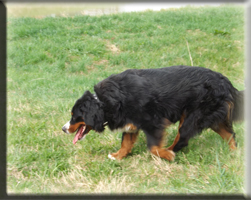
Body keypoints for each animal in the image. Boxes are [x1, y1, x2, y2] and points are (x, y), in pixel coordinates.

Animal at [61, 65, 244, 161]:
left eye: (74, 116)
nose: (63, 128)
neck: (104, 102)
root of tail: (226, 82)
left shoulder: (152, 121)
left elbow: (153, 147)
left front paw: (165, 154)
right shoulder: (130, 123)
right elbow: (125, 143)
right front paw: (117, 156)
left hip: (194, 115)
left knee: (182, 138)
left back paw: (170, 151)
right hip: (212, 116)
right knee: (230, 135)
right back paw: (234, 155)